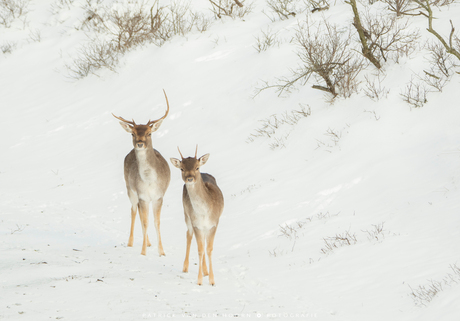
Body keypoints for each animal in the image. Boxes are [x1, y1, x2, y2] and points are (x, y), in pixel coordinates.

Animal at [112, 89, 172, 255]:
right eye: (132, 133)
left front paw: (161, 252)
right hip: (130, 189)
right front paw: (143, 252)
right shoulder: (142, 195)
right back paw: (131, 242)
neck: (149, 181)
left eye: (149, 133)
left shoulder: (159, 196)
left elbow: (156, 222)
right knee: (134, 210)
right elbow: (145, 222)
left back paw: (149, 243)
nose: (139, 143)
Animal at [171, 146, 225, 284]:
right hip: (186, 215)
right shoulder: (196, 224)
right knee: (188, 235)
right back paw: (185, 267)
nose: (190, 178)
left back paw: (206, 271)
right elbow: (200, 250)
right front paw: (200, 281)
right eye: (182, 168)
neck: (204, 213)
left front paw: (211, 280)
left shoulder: (214, 223)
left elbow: (209, 249)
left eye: (196, 167)